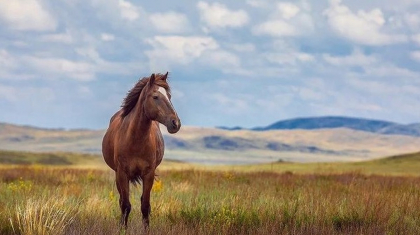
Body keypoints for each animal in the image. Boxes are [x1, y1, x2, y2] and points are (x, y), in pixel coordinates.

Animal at [102, 72, 181, 229]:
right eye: (155, 97)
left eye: (169, 96)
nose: (176, 123)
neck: (135, 140)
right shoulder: (122, 174)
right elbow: (125, 205)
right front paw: (123, 229)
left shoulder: (148, 174)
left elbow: (145, 205)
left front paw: (146, 229)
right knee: (121, 200)